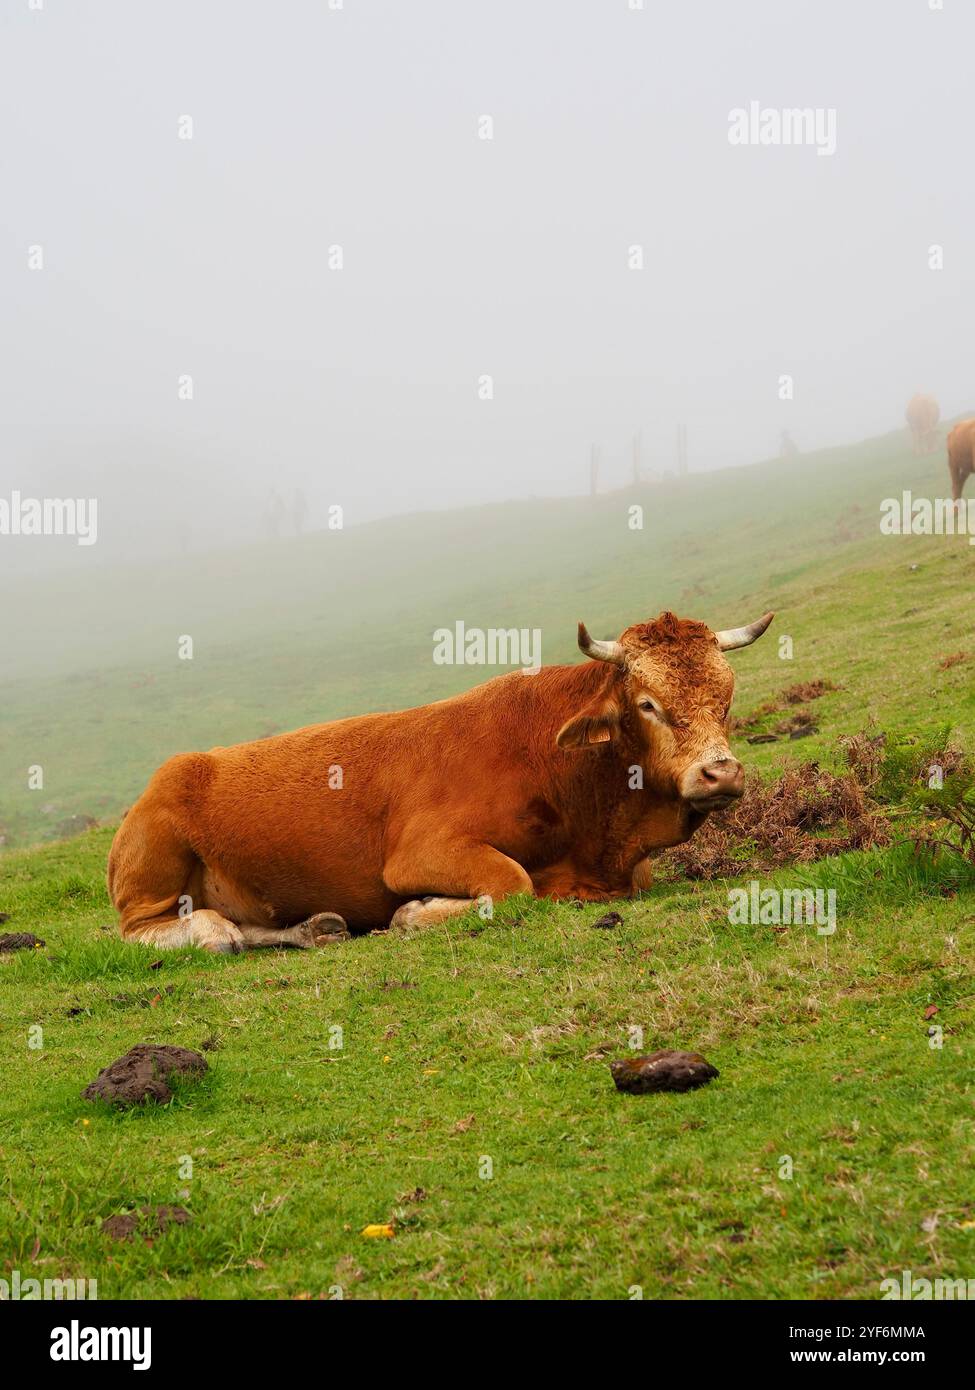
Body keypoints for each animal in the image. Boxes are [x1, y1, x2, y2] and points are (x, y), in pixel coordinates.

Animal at [106, 611, 773, 950]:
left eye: (727, 697)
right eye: (647, 704)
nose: (720, 772)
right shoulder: (421, 852)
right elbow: (511, 883)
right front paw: (416, 913)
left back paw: (313, 927)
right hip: (154, 866)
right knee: (168, 931)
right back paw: (215, 930)